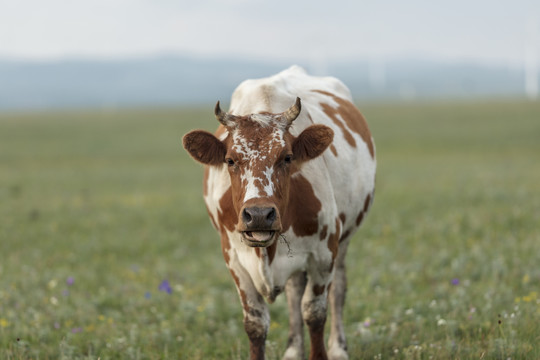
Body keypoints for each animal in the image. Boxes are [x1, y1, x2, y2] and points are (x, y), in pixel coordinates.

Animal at [182, 65, 376, 360]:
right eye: (230, 160)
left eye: (286, 157)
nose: (259, 214)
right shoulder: (234, 259)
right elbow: (256, 323)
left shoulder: (324, 252)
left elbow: (315, 313)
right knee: (295, 293)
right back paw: (293, 350)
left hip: (343, 241)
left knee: (338, 290)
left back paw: (338, 348)